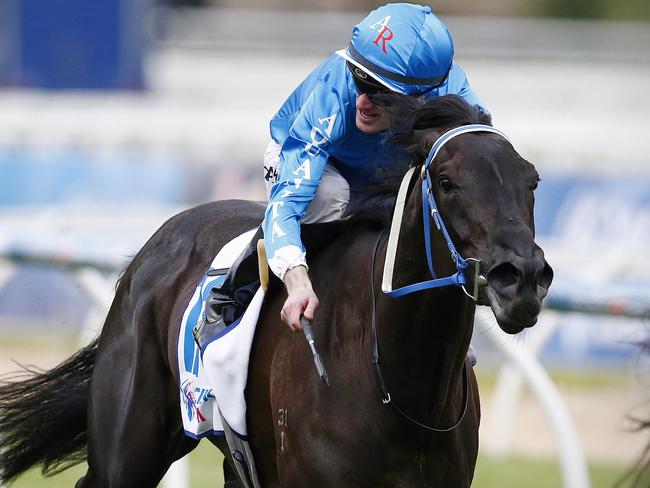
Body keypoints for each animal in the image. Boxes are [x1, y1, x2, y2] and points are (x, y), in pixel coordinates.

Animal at [0, 93, 552, 486]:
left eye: (532, 180)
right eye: (448, 181)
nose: (522, 277)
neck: (401, 385)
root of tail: (154, 245)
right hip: (130, 440)